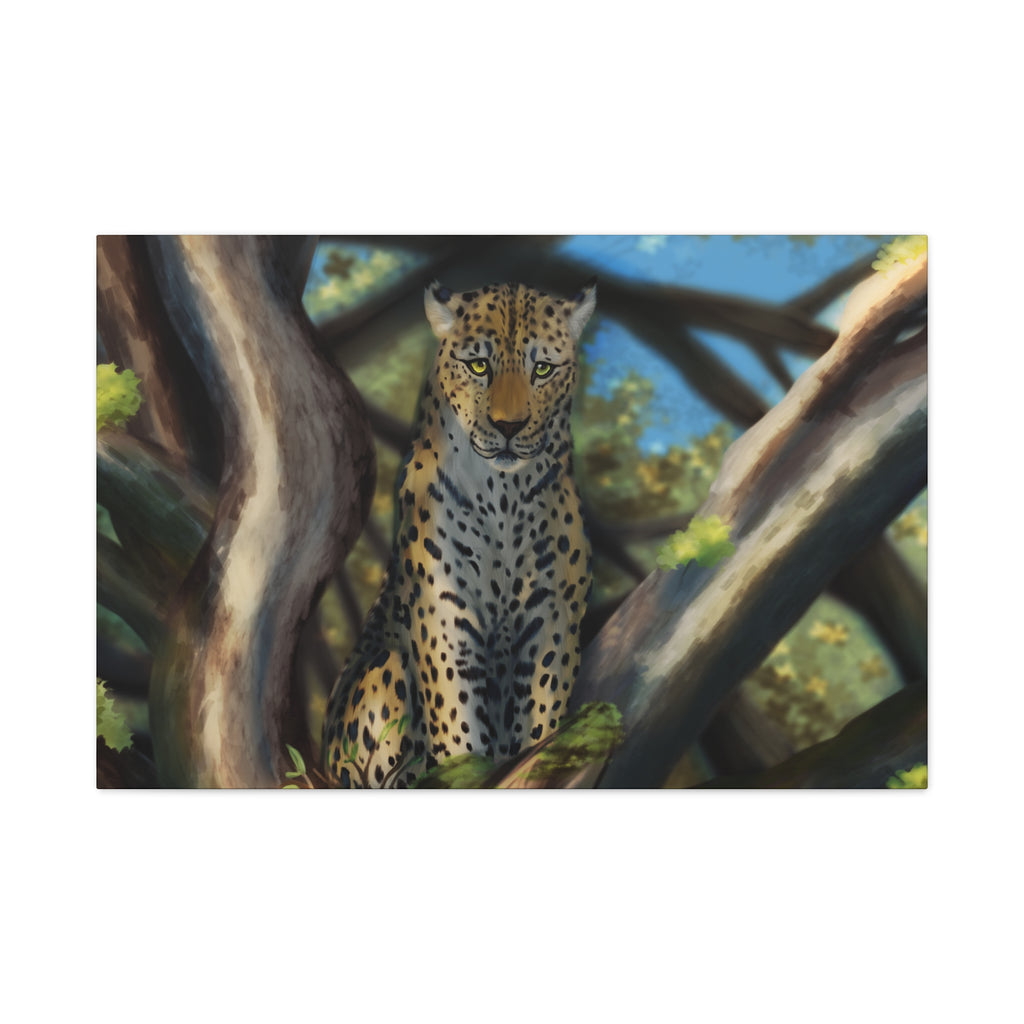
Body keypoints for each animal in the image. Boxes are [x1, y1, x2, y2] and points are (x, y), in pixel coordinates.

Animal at [322, 278, 596, 787]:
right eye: (478, 365)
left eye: (543, 369)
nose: (509, 427)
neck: (504, 494)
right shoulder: (445, 616)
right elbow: (458, 724)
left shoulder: (552, 615)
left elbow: (542, 712)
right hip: (382, 674)